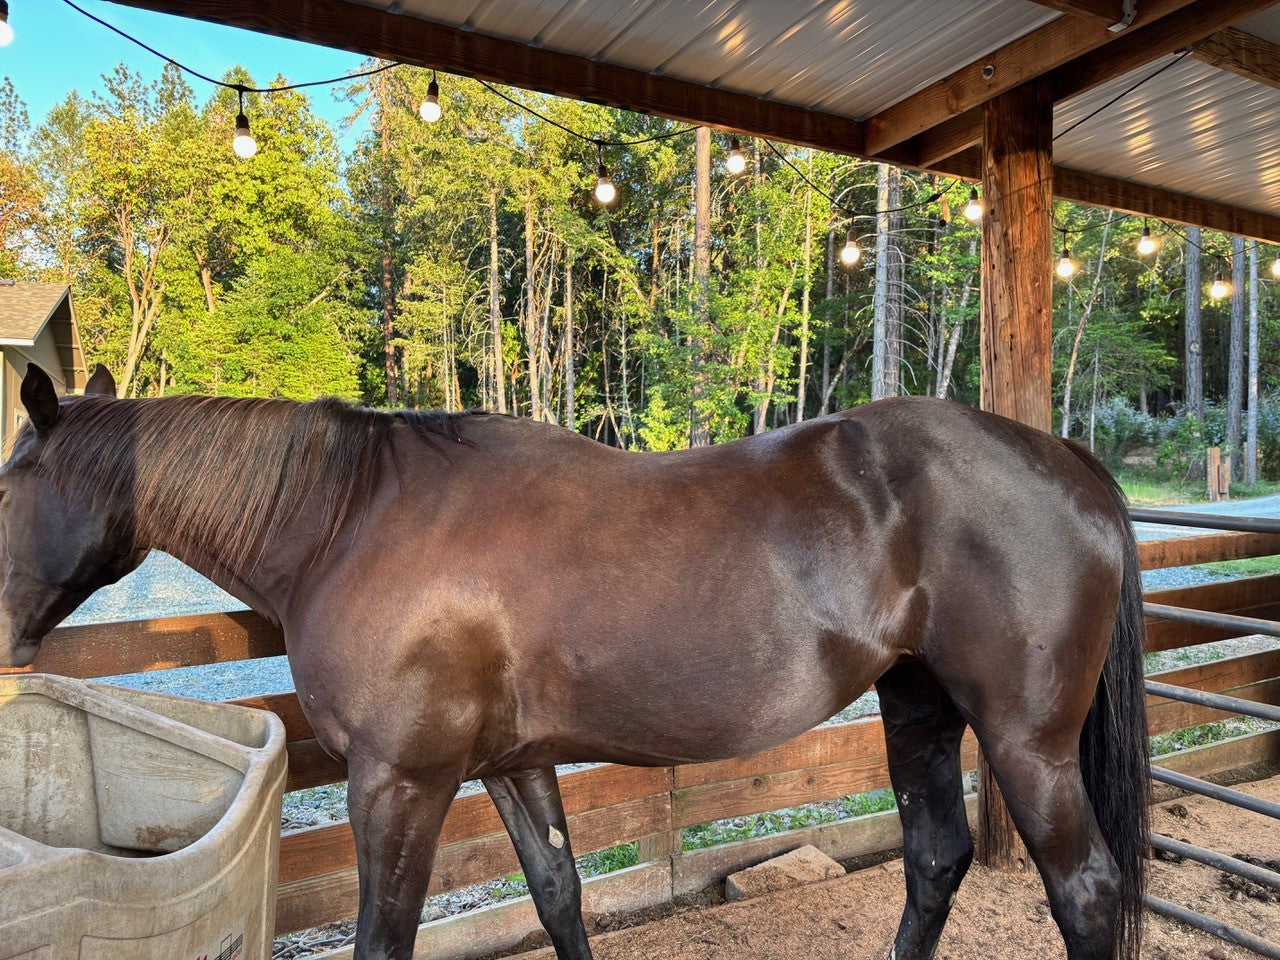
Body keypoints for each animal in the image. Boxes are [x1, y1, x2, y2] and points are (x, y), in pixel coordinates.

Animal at [0, 362, 1147, 960]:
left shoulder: (399, 783)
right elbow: (558, 892)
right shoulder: (512, 765)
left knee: (1085, 892)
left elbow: (384, 938)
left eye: (7, 483)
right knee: (934, 859)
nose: (6, 641)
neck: (350, 521)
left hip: (1026, 743)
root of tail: (1067, 459)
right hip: (916, 708)